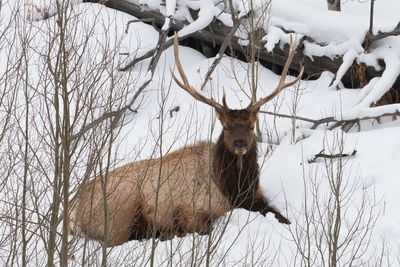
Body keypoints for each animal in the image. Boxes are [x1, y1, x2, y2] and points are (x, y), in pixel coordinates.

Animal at [69, 33, 302, 247]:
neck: (233, 190)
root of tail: (72, 210)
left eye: (251, 125)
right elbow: (201, 228)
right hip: (119, 213)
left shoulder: (257, 197)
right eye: (225, 126)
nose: (240, 143)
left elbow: (284, 218)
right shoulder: (192, 210)